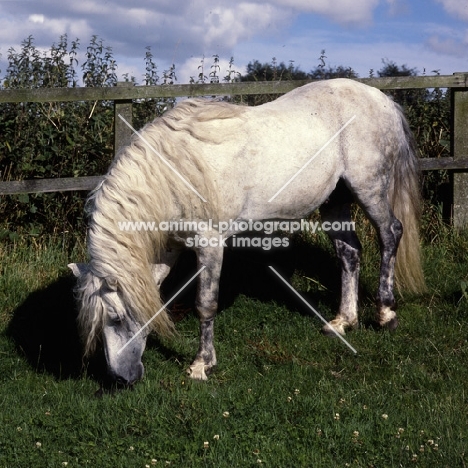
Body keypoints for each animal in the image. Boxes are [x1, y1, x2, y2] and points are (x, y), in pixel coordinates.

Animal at [68, 77, 424, 384]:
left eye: (116, 318)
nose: (121, 378)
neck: (176, 171)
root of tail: (382, 99)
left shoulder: (210, 245)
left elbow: (205, 304)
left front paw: (201, 365)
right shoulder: (169, 248)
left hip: (370, 188)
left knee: (390, 234)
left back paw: (385, 313)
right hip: (335, 200)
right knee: (349, 252)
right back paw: (342, 322)